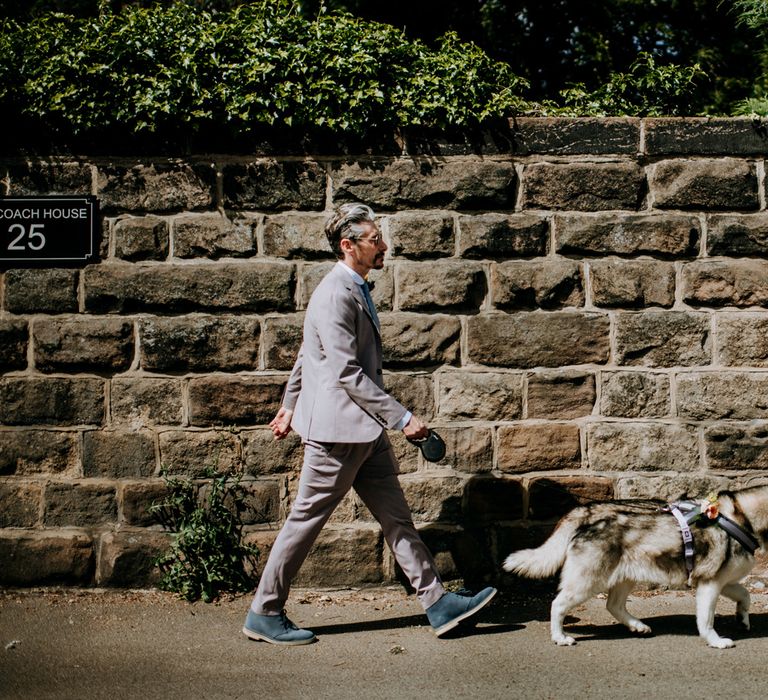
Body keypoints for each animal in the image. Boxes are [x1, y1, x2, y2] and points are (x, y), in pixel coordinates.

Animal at [504, 484, 768, 648]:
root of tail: (584, 513)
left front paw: (742, 618)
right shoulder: (709, 584)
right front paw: (715, 641)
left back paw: (637, 625)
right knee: (558, 604)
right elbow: (706, 620)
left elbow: (745, 595)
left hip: (624, 576)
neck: (740, 517)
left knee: (613, 605)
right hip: (587, 582)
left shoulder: (723, 581)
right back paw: (560, 637)